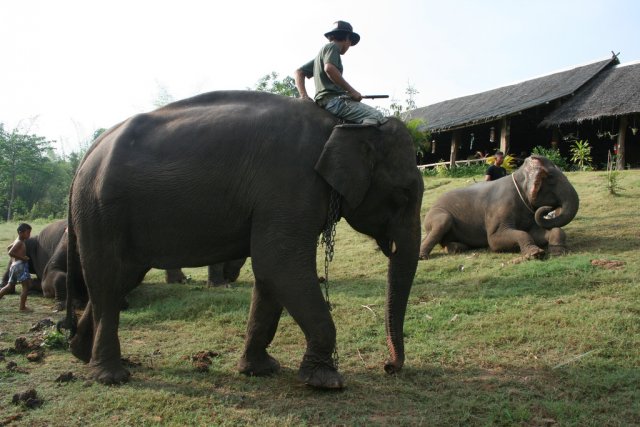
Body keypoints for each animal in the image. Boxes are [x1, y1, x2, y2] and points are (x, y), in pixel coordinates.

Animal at [62, 90, 424, 392]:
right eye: (403, 196)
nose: (389, 367)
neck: (342, 125)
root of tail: (85, 158)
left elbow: (270, 276)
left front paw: (260, 370)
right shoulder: (291, 184)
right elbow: (279, 264)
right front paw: (326, 382)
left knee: (119, 280)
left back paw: (81, 354)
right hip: (100, 211)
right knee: (107, 279)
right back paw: (111, 376)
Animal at [420, 155, 580, 260]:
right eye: (551, 177)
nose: (550, 208)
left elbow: (536, 232)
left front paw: (558, 251)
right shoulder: (500, 207)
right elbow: (495, 240)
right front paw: (536, 253)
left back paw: (455, 248)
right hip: (437, 215)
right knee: (442, 221)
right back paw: (423, 256)